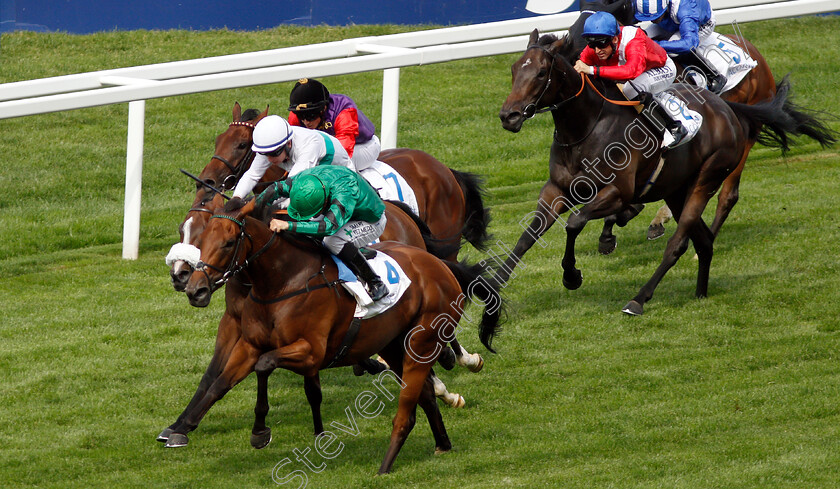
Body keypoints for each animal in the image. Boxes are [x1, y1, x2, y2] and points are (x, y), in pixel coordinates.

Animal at [171, 195, 498, 472]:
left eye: (228, 243)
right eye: (201, 240)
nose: (194, 289)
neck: (283, 282)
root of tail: (439, 264)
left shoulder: (311, 351)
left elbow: (265, 365)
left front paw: (260, 431)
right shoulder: (249, 345)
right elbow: (220, 382)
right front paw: (181, 427)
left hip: (420, 339)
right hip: (393, 344)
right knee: (425, 393)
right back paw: (442, 438)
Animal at [498, 30, 832, 314]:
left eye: (541, 73)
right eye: (514, 70)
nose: (508, 116)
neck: (586, 126)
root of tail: (727, 110)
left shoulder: (618, 193)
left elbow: (574, 222)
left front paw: (572, 275)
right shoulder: (555, 190)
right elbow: (528, 236)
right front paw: (494, 284)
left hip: (707, 178)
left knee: (683, 240)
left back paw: (639, 299)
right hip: (676, 190)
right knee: (703, 240)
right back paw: (700, 292)